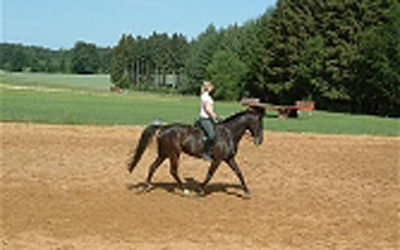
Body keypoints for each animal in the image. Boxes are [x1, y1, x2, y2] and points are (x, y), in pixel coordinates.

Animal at [128, 106, 266, 198]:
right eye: (260, 124)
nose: (259, 141)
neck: (228, 133)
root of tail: (164, 127)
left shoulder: (229, 159)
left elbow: (239, 173)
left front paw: (247, 192)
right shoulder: (217, 159)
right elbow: (209, 175)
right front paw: (200, 190)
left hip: (164, 154)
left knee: (153, 167)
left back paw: (145, 187)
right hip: (173, 154)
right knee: (173, 171)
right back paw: (185, 190)